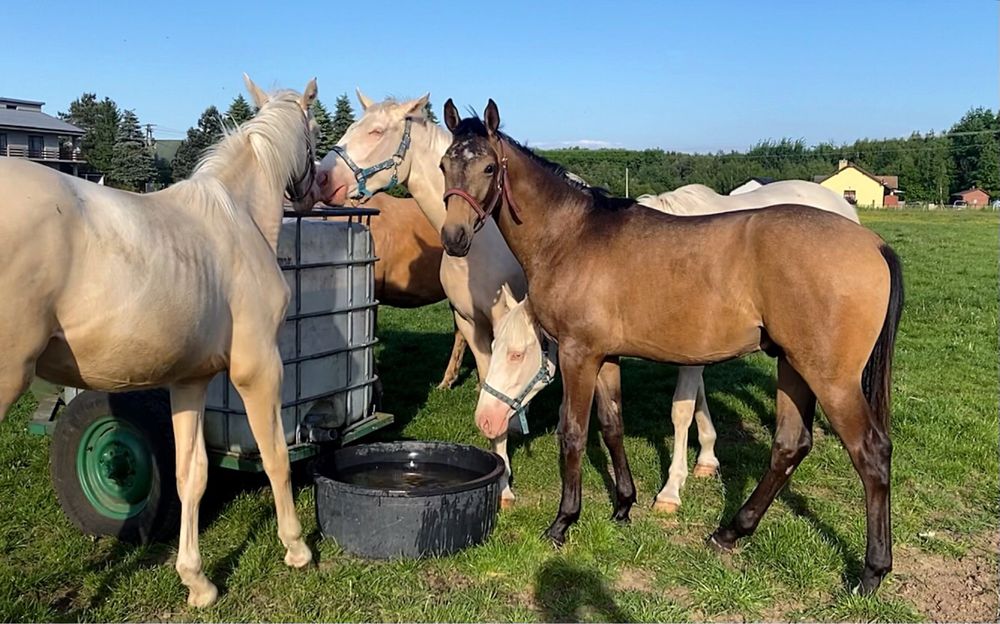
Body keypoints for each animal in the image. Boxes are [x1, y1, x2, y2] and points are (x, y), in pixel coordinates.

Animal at [0, 75, 318, 608]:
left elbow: (191, 475)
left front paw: (197, 581)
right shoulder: (259, 369)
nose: (320, 190)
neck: (238, 218)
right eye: (315, 135)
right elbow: (276, 457)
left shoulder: (190, 381)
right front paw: (296, 548)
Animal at [478, 182, 860, 512]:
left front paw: (671, 489)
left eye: (517, 354)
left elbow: (681, 411)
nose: (485, 419)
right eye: (494, 348)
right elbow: (698, 402)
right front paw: (706, 457)